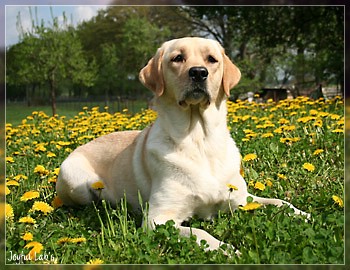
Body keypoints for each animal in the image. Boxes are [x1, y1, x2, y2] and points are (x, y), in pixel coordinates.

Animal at [56, 37, 308, 254]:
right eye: (177, 58)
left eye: (211, 59)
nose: (198, 72)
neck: (199, 141)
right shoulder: (157, 218)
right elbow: (200, 232)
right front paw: (227, 250)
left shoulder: (242, 199)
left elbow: (279, 202)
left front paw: (302, 213)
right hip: (78, 183)